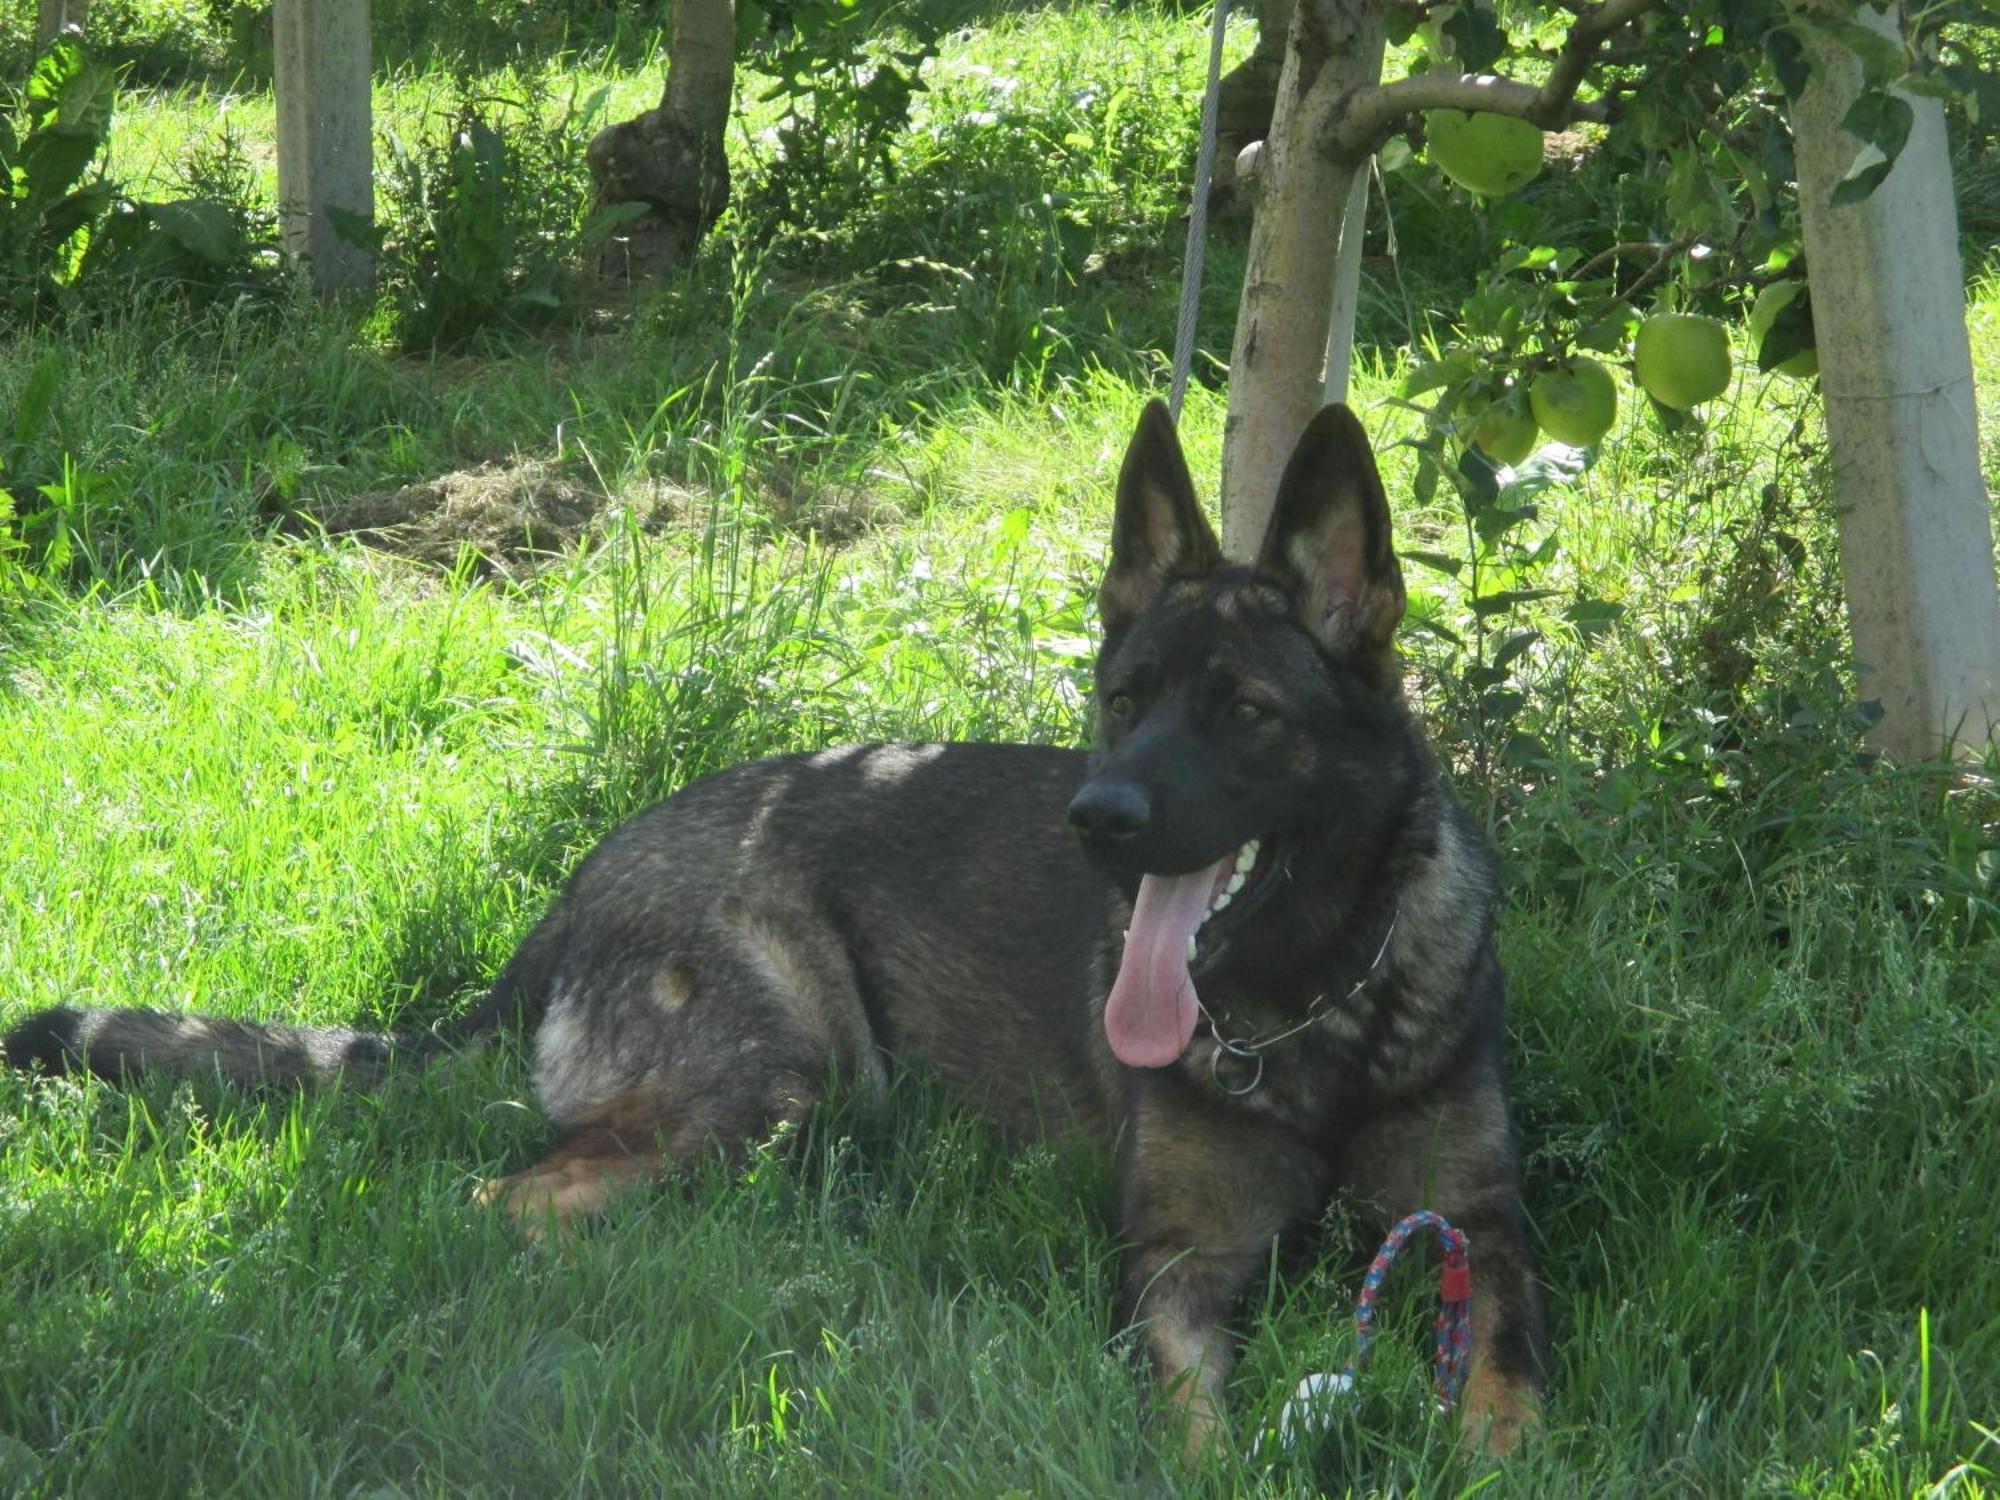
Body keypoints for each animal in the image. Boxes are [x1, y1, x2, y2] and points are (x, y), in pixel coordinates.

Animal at [0, 406, 1544, 1464]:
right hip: (782, 1080)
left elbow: (1503, 1396)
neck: (1313, 1008)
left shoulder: (1481, 1231)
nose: (1097, 820)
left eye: (1244, 714)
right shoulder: (1176, 1260)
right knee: (507, 1203)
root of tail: (578, 887)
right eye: (1123, 699)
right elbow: (1196, 1431)